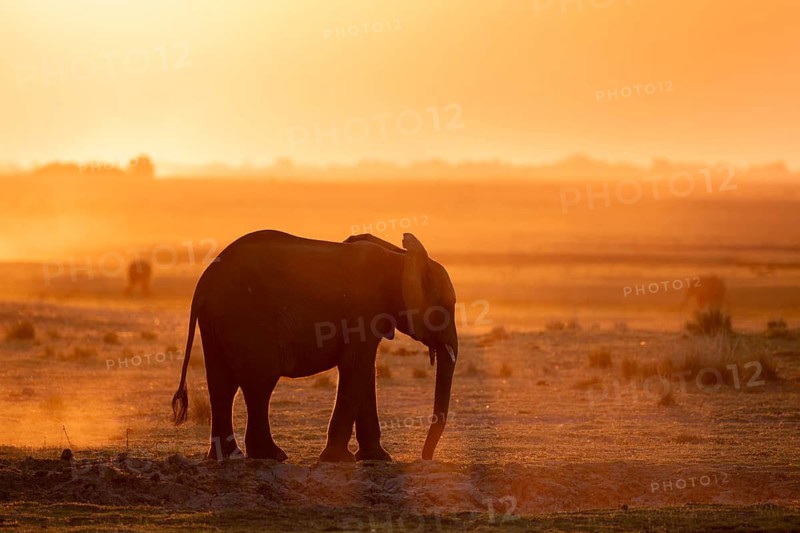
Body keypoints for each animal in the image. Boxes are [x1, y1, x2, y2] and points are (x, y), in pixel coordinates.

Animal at [171, 230, 458, 463]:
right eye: (447, 306)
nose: (425, 457)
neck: (400, 258)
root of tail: (202, 286)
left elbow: (365, 371)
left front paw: (376, 458)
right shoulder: (364, 313)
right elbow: (356, 367)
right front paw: (338, 460)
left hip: (216, 322)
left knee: (222, 385)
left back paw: (229, 457)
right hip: (247, 319)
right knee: (259, 384)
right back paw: (271, 456)